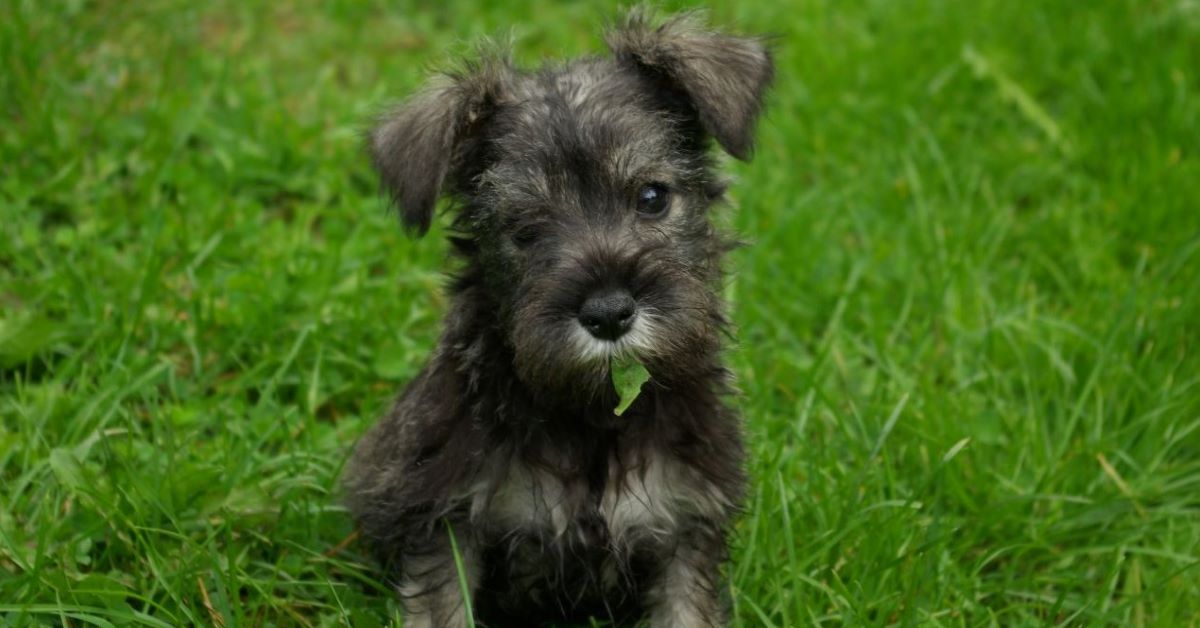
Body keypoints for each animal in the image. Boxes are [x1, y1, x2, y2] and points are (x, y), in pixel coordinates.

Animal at [345, 9, 777, 628]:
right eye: (526, 229)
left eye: (652, 197)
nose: (608, 313)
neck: (592, 415)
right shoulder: (446, 521)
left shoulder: (685, 526)